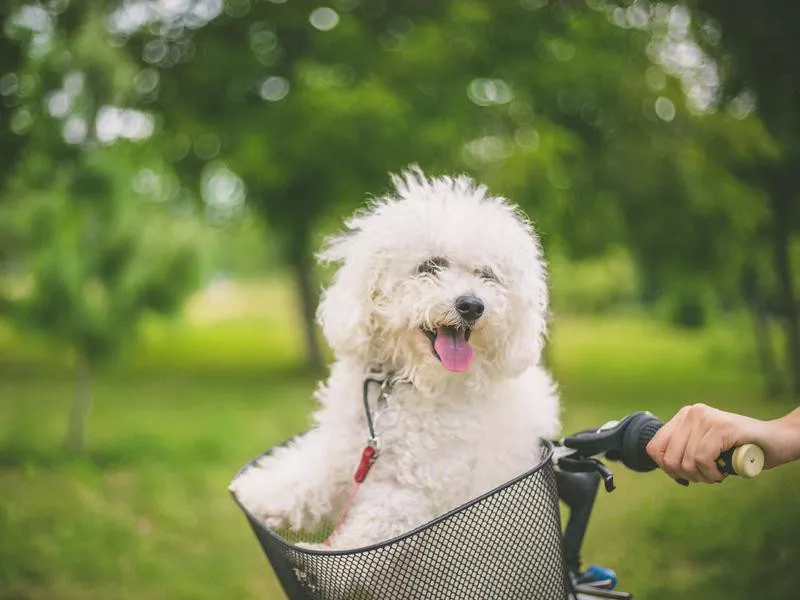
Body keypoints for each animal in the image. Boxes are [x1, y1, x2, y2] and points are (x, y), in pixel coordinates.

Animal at [228, 168, 560, 552]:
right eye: (430, 266)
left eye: (487, 275)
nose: (472, 305)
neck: (402, 385)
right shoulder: (344, 450)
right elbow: (307, 476)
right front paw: (258, 491)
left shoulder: (408, 491)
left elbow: (361, 543)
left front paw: (321, 559)